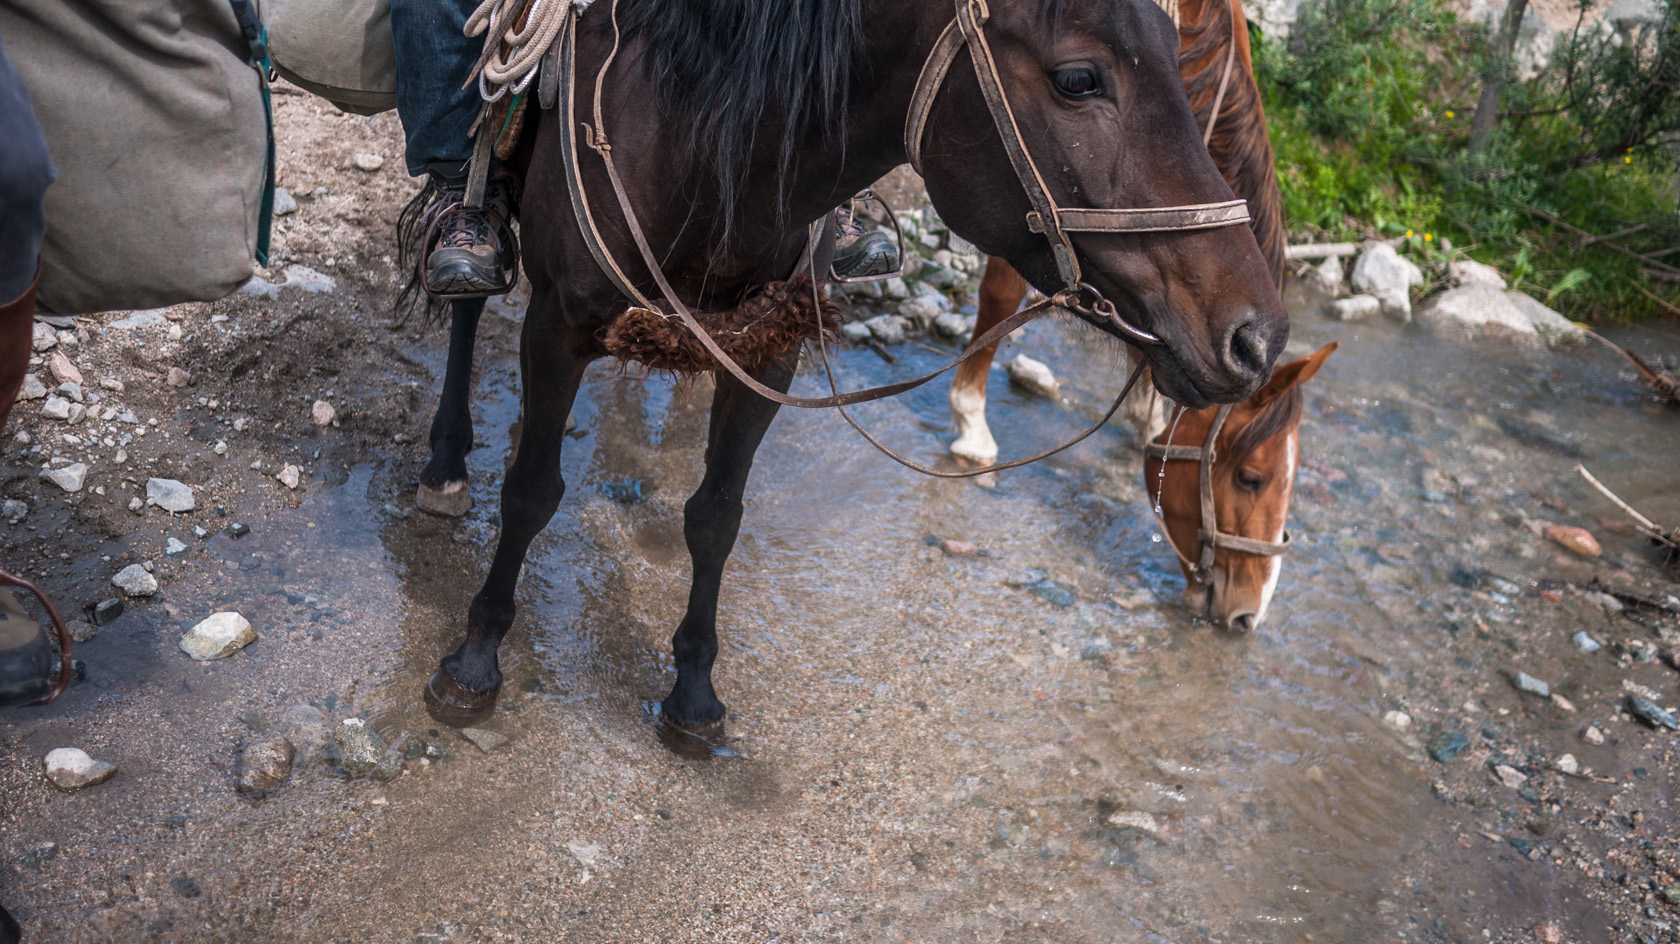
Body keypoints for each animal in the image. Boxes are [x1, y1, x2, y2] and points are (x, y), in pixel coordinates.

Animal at [416, 0, 1283, 728]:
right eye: (1079, 79)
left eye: (1175, 56)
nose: (1255, 337)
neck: (698, 137)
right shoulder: (557, 325)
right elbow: (531, 491)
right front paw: (474, 660)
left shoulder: (770, 345)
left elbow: (716, 517)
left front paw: (693, 693)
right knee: (466, 301)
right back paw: (446, 459)